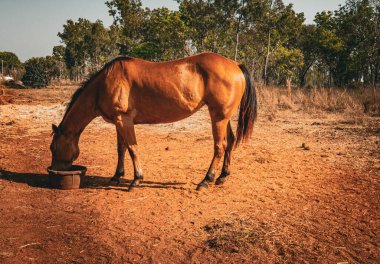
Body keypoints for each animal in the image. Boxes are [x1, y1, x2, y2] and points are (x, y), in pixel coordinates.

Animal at [50, 52, 256, 191]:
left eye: (53, 147)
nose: (55, 170)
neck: (103, 84)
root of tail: (236, 65)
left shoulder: (124, 120)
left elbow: (132, 148)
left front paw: (136, 179)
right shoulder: (118, 122)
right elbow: (121, 149)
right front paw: (117, 176)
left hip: (218, 118)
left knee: (220, 147)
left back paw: (206, 180)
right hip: (223, 117)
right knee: (230, 142)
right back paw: (222, 176)